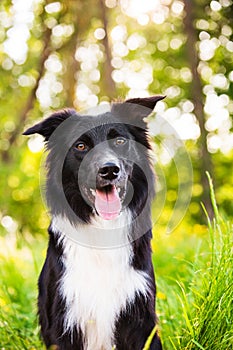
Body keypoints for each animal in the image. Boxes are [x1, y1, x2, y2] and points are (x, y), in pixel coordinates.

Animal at [22, 95, 163, 350]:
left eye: (119, 140)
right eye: (80, 146)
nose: (109, 170)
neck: (103, 227)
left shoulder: (140, 317)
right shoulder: (65, 317)